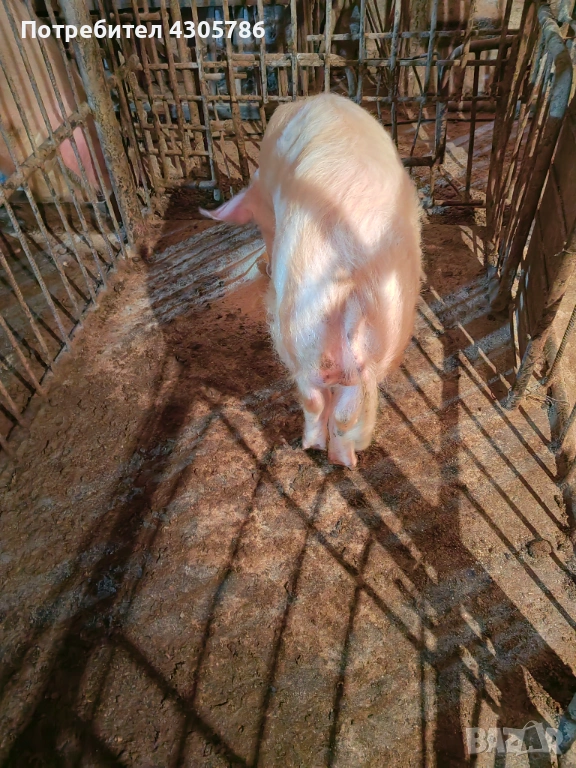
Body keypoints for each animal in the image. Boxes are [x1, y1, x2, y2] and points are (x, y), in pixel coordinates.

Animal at [200, 93, 422, 468]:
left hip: (299, 333)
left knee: (314, 400)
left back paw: (311, 445)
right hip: (377, 339)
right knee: (345, 412)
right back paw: (343, 459)